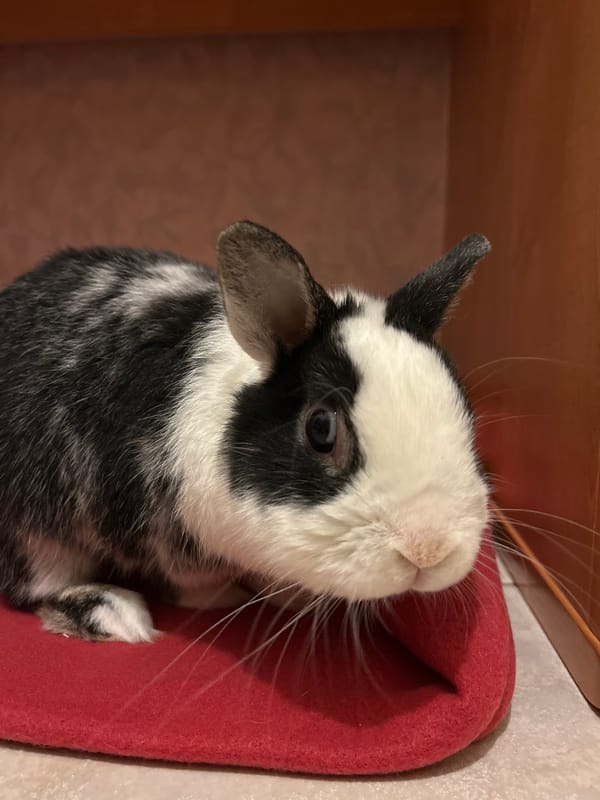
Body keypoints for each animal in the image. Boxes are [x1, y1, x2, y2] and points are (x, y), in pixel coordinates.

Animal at [0, 221, 491, 642]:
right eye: (321, 429)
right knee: (33, 585)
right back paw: (112, 614)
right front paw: (225, 597)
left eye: (464, 405)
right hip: (33, 533)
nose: (428, 551)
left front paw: (291, 593)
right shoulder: (157, 530)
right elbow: (186, 581)